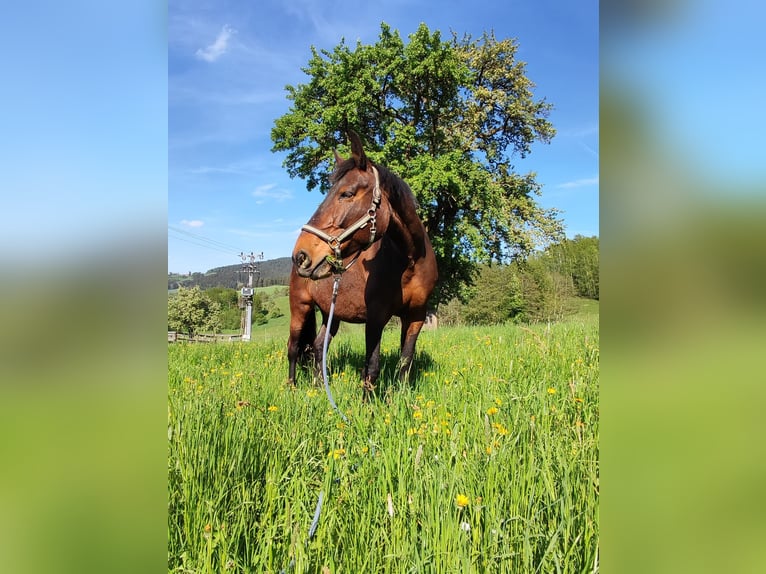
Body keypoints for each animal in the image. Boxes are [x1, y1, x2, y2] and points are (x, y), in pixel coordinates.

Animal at [288, 132, 438, 398]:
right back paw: (292, 389)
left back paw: (318, 387)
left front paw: (401, 399)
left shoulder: (416, 316)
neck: (410, 261)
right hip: (300, 307)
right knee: (294, 348)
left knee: (317, 347)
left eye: (346, 194)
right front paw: (367, 405)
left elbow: (405, 361)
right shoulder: (376, 317)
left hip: (330, 314)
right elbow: (372, 366)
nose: (301, 255)